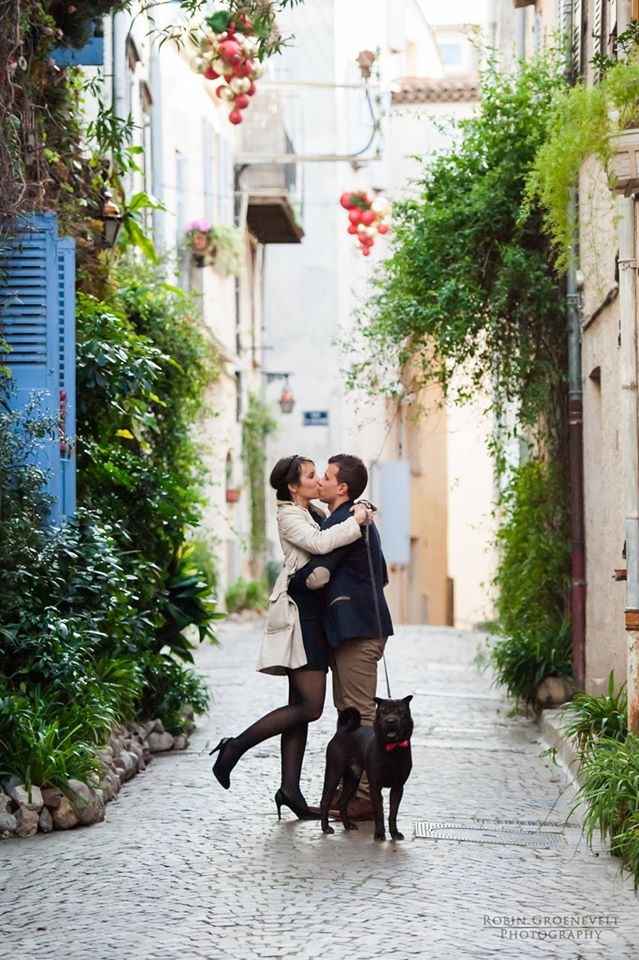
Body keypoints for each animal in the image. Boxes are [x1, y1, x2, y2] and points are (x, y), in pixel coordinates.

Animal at [320, 696, 416, 840]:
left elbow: (393, 814)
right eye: (383, 711)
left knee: (342, 802)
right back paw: (325, 827)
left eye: (400, 712)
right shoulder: (375, 787)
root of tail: (342, 730)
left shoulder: (398, 788)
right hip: (334, 773)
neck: (392, 749)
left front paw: (394, 833)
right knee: (325, 801)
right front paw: (380, 834)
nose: (391, 720)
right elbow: (379, 813)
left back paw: (348, 825)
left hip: (352, 779)